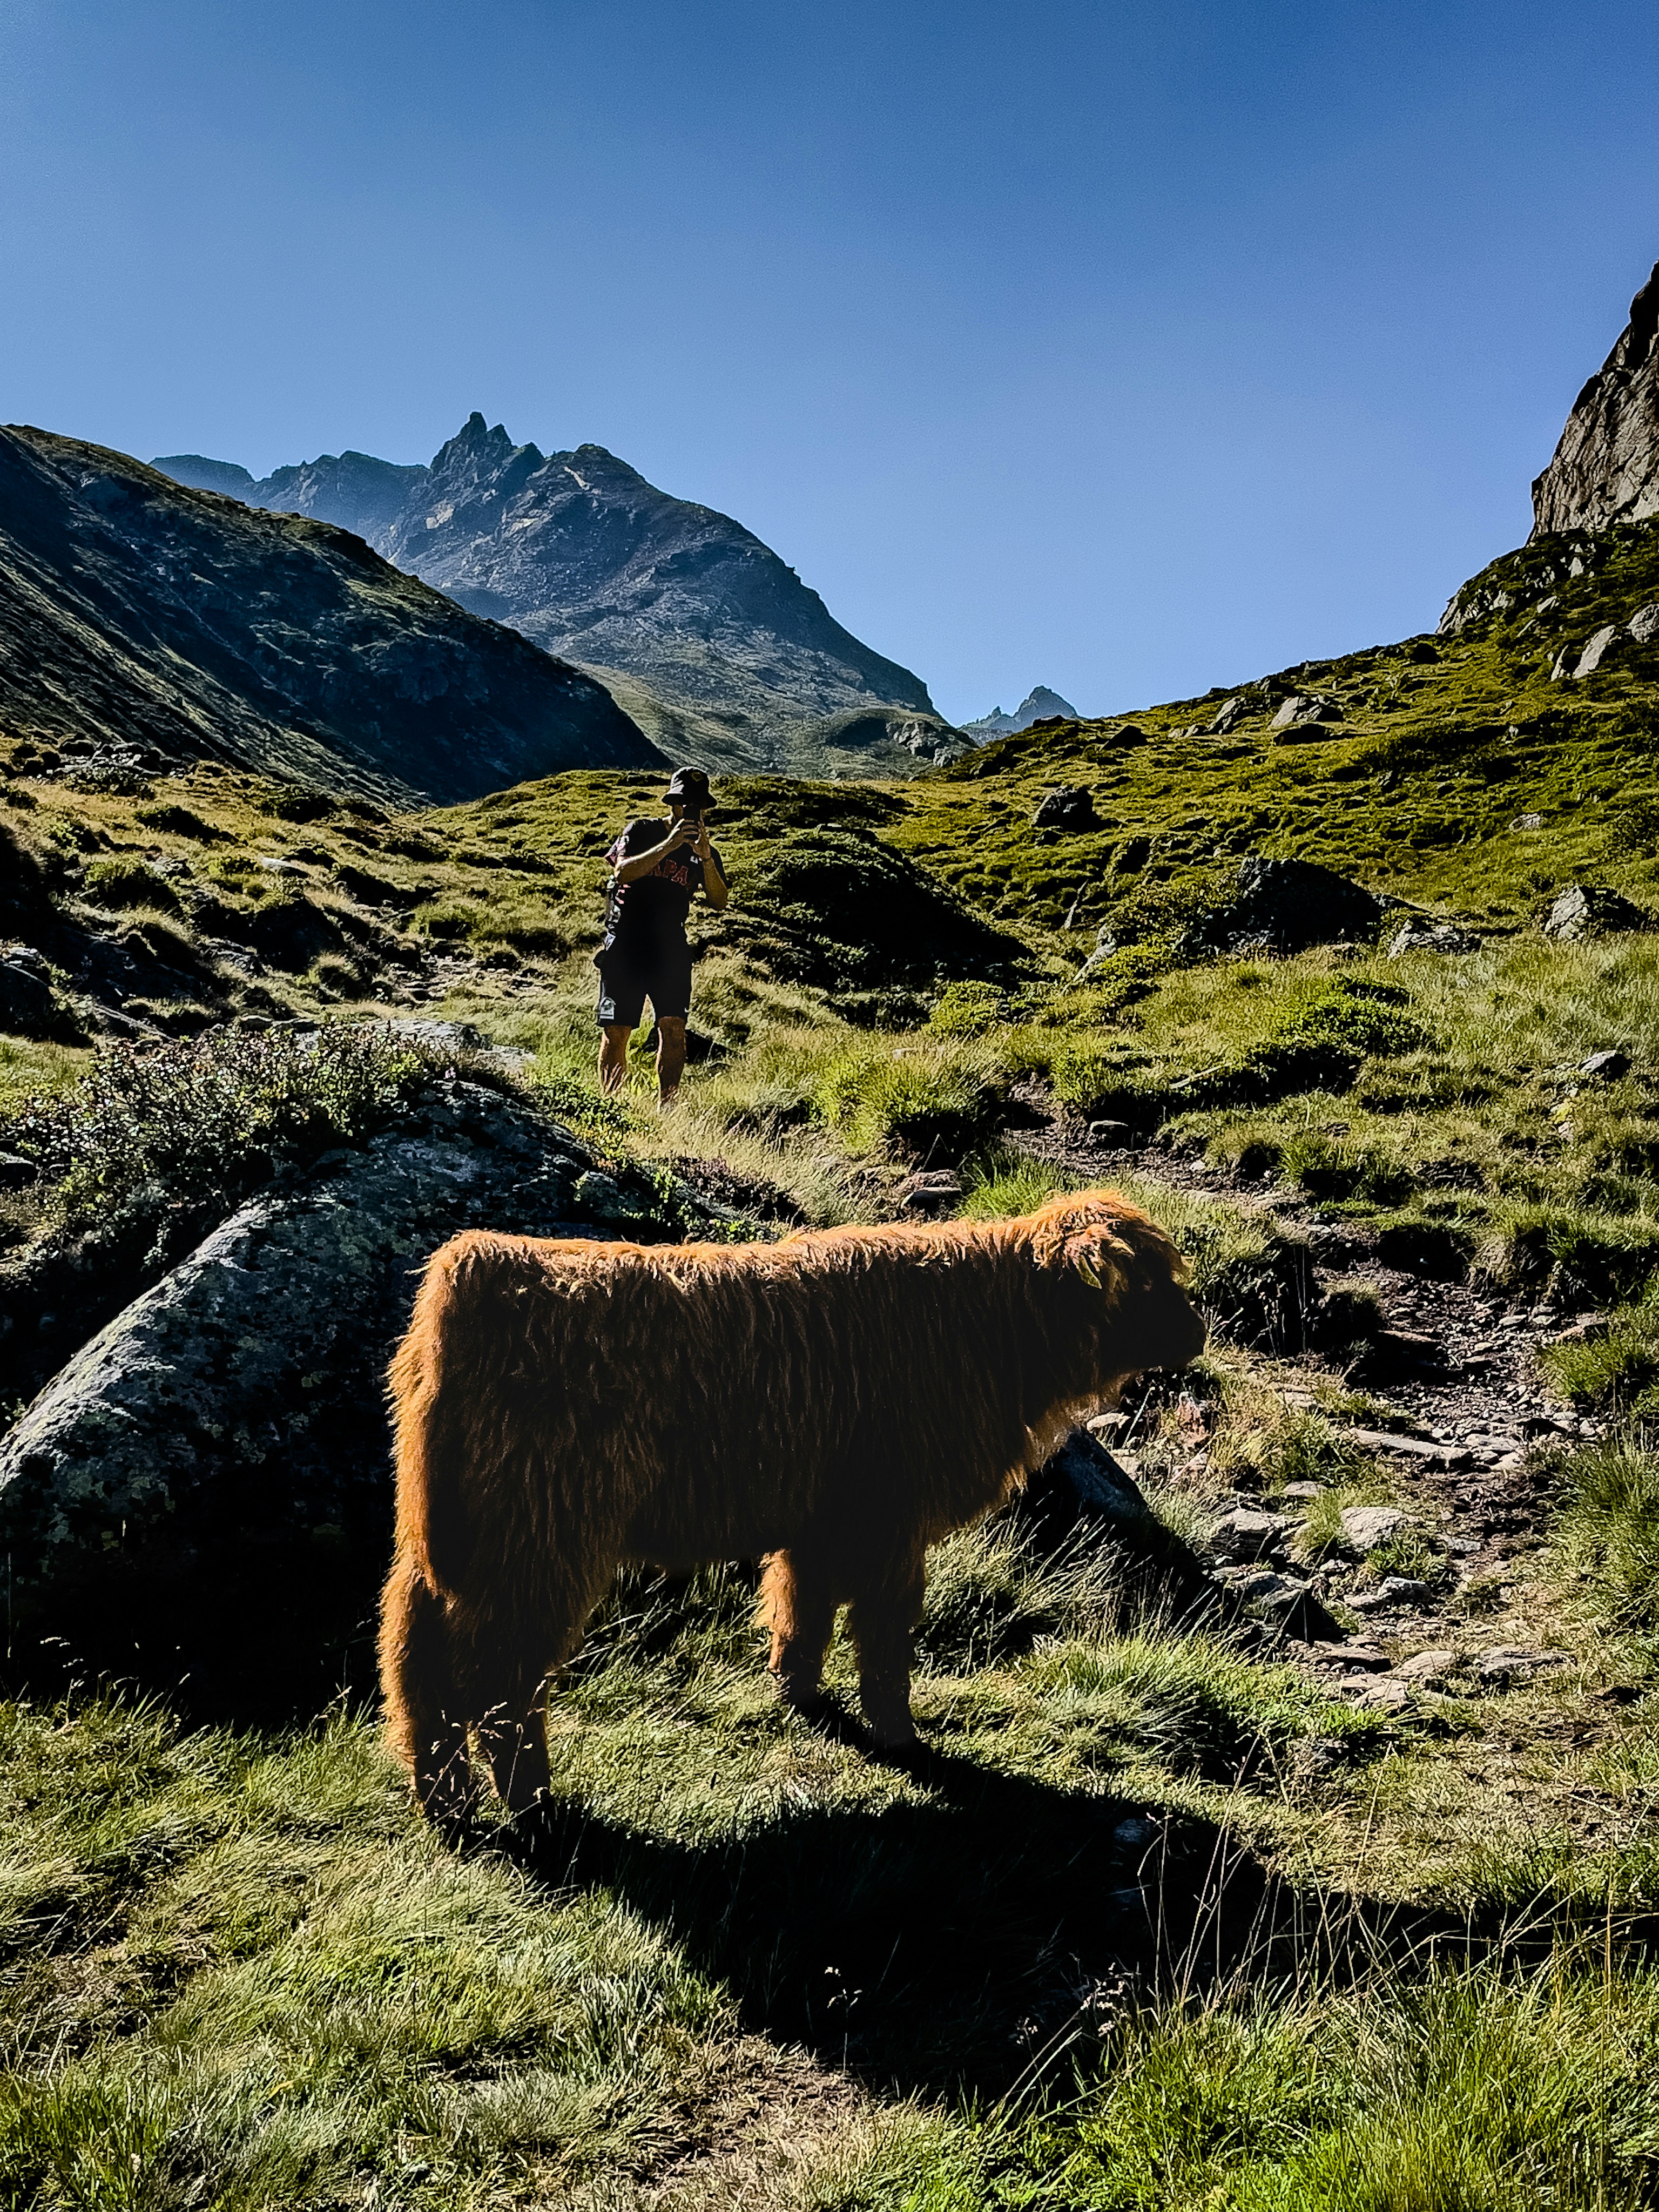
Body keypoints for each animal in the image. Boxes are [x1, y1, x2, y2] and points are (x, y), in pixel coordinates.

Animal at [378, 1187, 1204, 1823]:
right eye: (1147, 1286)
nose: (1199, 1330)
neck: (991, 1333)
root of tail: (470, 1269)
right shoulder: (890, 1518)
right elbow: (884, 1631)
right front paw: (898, 1735)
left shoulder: (820, 1516)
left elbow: (801, 1608)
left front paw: (796, 1694)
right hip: (539, 1540)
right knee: (499, 1680)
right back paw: (533, 1803)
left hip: (448, 1543)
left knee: (417, 1661)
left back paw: (446, 1802)